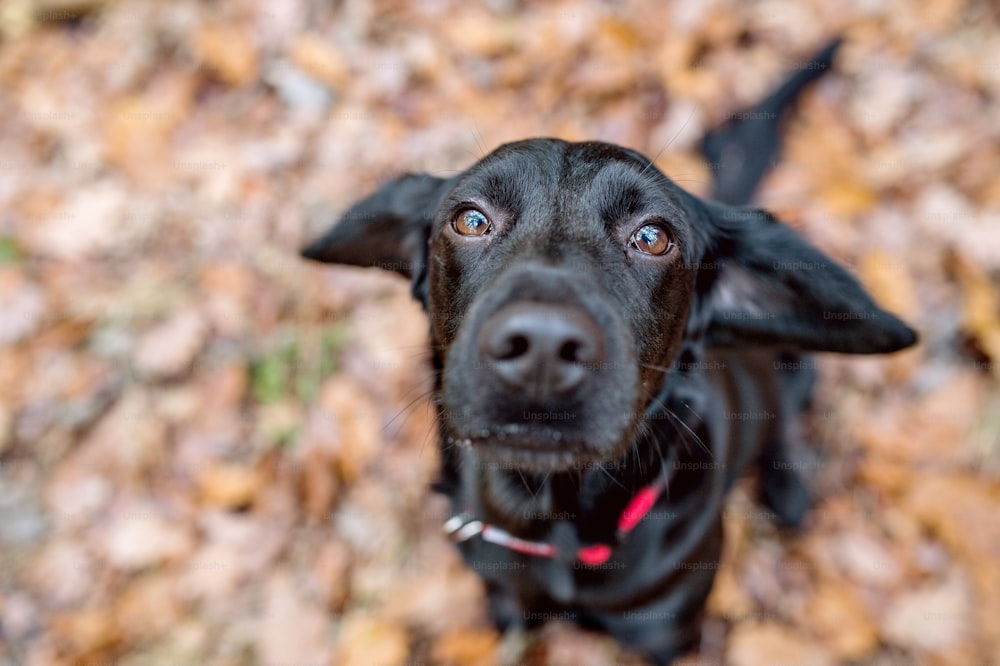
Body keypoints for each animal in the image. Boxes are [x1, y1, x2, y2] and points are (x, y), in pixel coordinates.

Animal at [300, 40, 916, 660]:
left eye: (652, 236)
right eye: (469, 219)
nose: (542, 348)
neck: (554, 527)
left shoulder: (668, 636)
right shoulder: (508, 603)